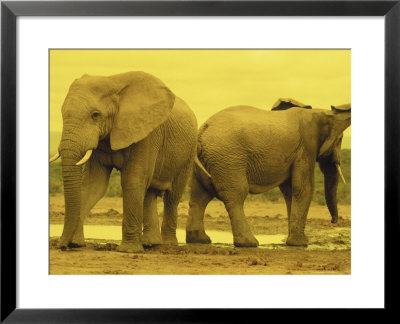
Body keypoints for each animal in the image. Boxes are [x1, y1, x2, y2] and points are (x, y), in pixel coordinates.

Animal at [50, 71, 198, 253]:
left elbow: (132, 181)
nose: (62, 246)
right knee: (149, 193)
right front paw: (76, 244)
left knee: (172, 196)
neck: (113, 81)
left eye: (95, 115)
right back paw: (150, 243)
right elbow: (94, 184)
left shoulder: (147, 133)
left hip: (188, 153)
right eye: (63, 114)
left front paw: (128, 250)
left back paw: (168, 244)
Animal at [185, 100, 350, 247]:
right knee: (236, 195)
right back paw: (248, 243)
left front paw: (292, 242)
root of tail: (203, 128)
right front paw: (301, 244)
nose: (333, 221)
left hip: (206, 159)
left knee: (200, 196)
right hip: (228, 158)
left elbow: (290, 190)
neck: (320, 113)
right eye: (340, 139)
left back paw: (199, 240)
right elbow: (303, 189)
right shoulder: (306, 147)